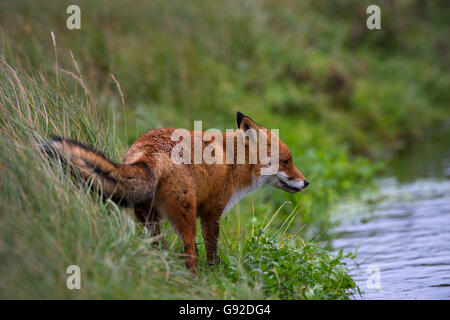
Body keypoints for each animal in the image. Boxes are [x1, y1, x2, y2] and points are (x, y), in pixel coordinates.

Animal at [42, 112, 308, 272]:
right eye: (286, 161)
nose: (306, 183)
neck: (232, 163)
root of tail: (146, 151)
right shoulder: (211, 214)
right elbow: (211, 251)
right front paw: (215, 274)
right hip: (186, 219)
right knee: (189, 254)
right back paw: (195, 282)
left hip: (149, 218)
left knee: (157, 246)